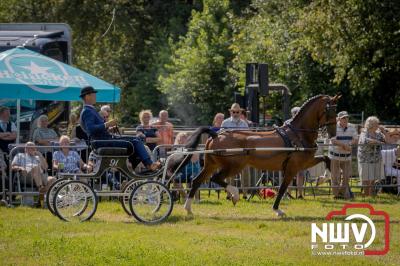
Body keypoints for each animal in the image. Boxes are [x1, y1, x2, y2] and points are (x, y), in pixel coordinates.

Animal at [181, 94, 340, 217]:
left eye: (336, 110)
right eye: (330, 111)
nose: (333, 134)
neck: (298, 134)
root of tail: (215, 135)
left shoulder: (305, 162)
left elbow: (326, 159)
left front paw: (322, 179)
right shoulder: (292, 168)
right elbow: (282, 188)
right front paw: (277, 210)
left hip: (212, 164)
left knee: (196, 181)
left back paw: (188, 209)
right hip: (234, 166)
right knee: (216, 178)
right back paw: (235, 195)